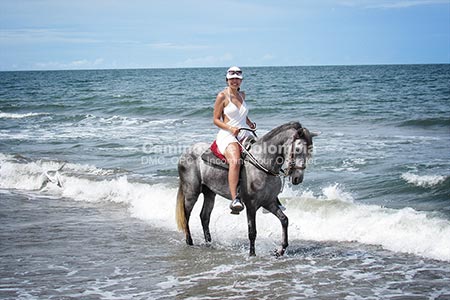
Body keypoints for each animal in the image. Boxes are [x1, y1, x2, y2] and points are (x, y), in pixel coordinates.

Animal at [176, 121, 316, 255]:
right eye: (297, 149)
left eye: (309, 151)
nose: (298, 178)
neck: (262, 163)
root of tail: (186, 152)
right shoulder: (251, 205)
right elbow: (252, 231)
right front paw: (252, 254)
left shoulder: (269, 202)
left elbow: (284, 220)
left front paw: (280, 250)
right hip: (192, 192)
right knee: (186, 215)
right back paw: (189, 241)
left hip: (210, 193)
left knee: (204, 216)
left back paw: (209, 243)